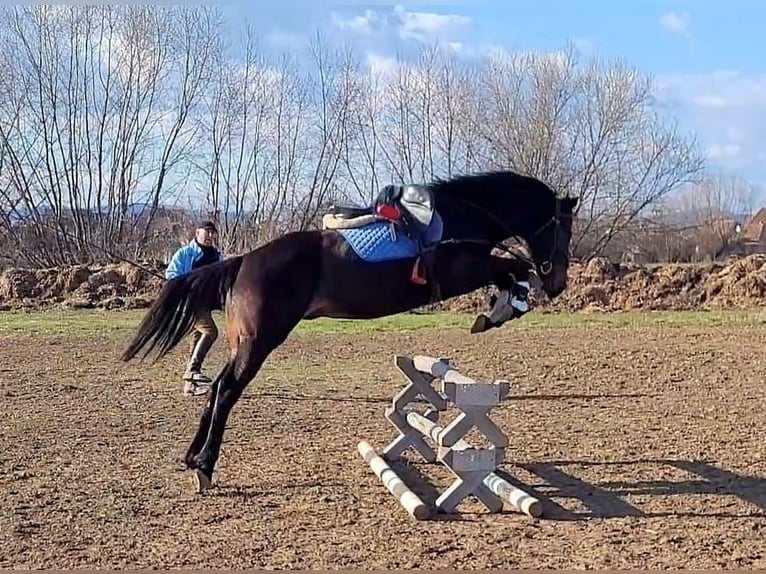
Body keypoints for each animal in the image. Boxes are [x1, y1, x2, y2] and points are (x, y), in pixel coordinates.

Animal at [120, 169, 580, 492]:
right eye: (564, 228)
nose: (558, 282)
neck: (463, 216)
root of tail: (243, 261)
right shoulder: (464, 270)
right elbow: (513, 268)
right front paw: (503, 308)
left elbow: (511, 271)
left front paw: (498, 309)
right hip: (259, 342)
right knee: (229, 390)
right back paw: (205, 465)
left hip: (242, 342)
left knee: (217, 388)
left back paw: (192, 458)